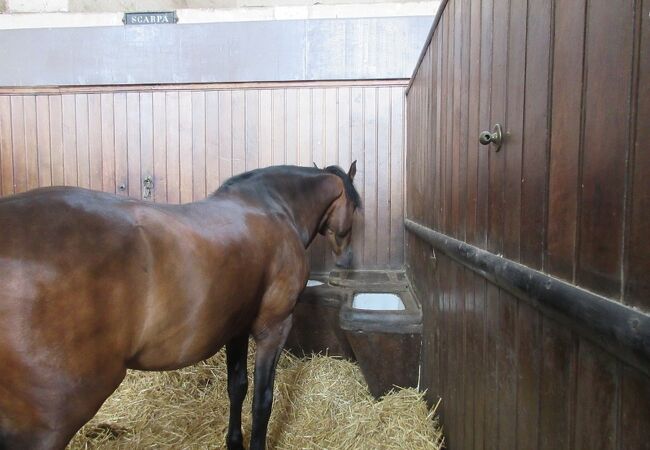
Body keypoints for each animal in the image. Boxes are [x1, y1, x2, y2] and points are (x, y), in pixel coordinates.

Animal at [0, 163, 360, 450]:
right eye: (356, 207)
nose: (346, 263)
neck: (272, 207)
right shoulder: (273, 328)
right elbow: (262, 400)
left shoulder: (237, 327)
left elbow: (238, 387)